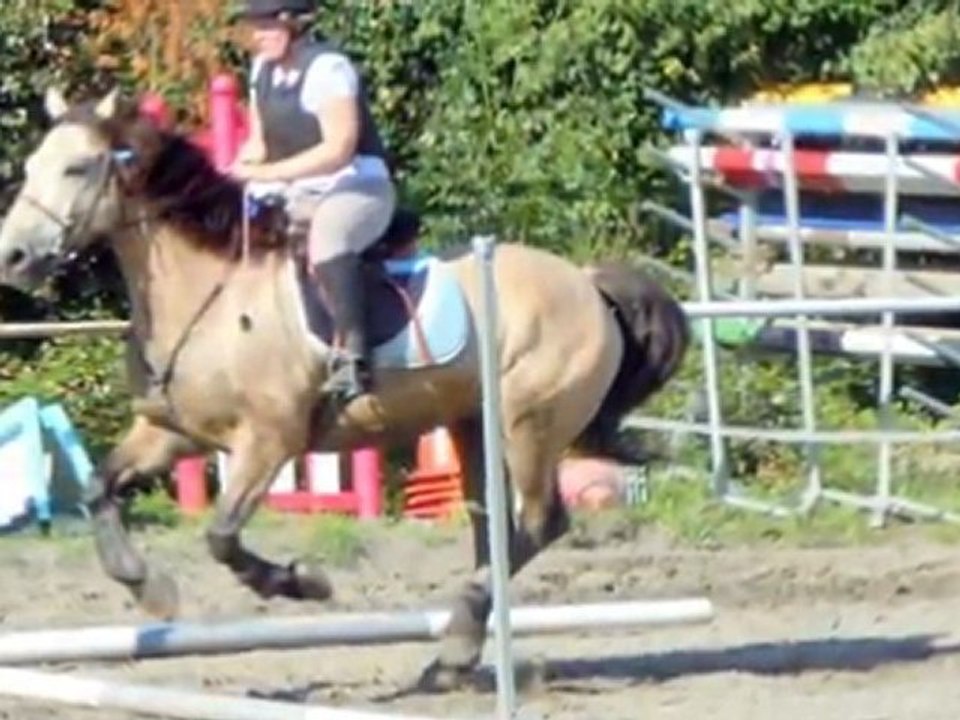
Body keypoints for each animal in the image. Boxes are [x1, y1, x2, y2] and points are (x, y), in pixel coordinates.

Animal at [0, 87, 689, 689]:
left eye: (78, 167)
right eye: (32, 166)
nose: (14, 258)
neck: (207, 292)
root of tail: (587, 282)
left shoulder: (269, 442)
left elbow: (221, 536)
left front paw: (302, 583)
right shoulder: (173, 433)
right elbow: (100, 487)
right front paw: (152, 592)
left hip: (528, 425)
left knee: (542, 523)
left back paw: (459, 636)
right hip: (474, 425)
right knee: (492, 528)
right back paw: (457, 654)